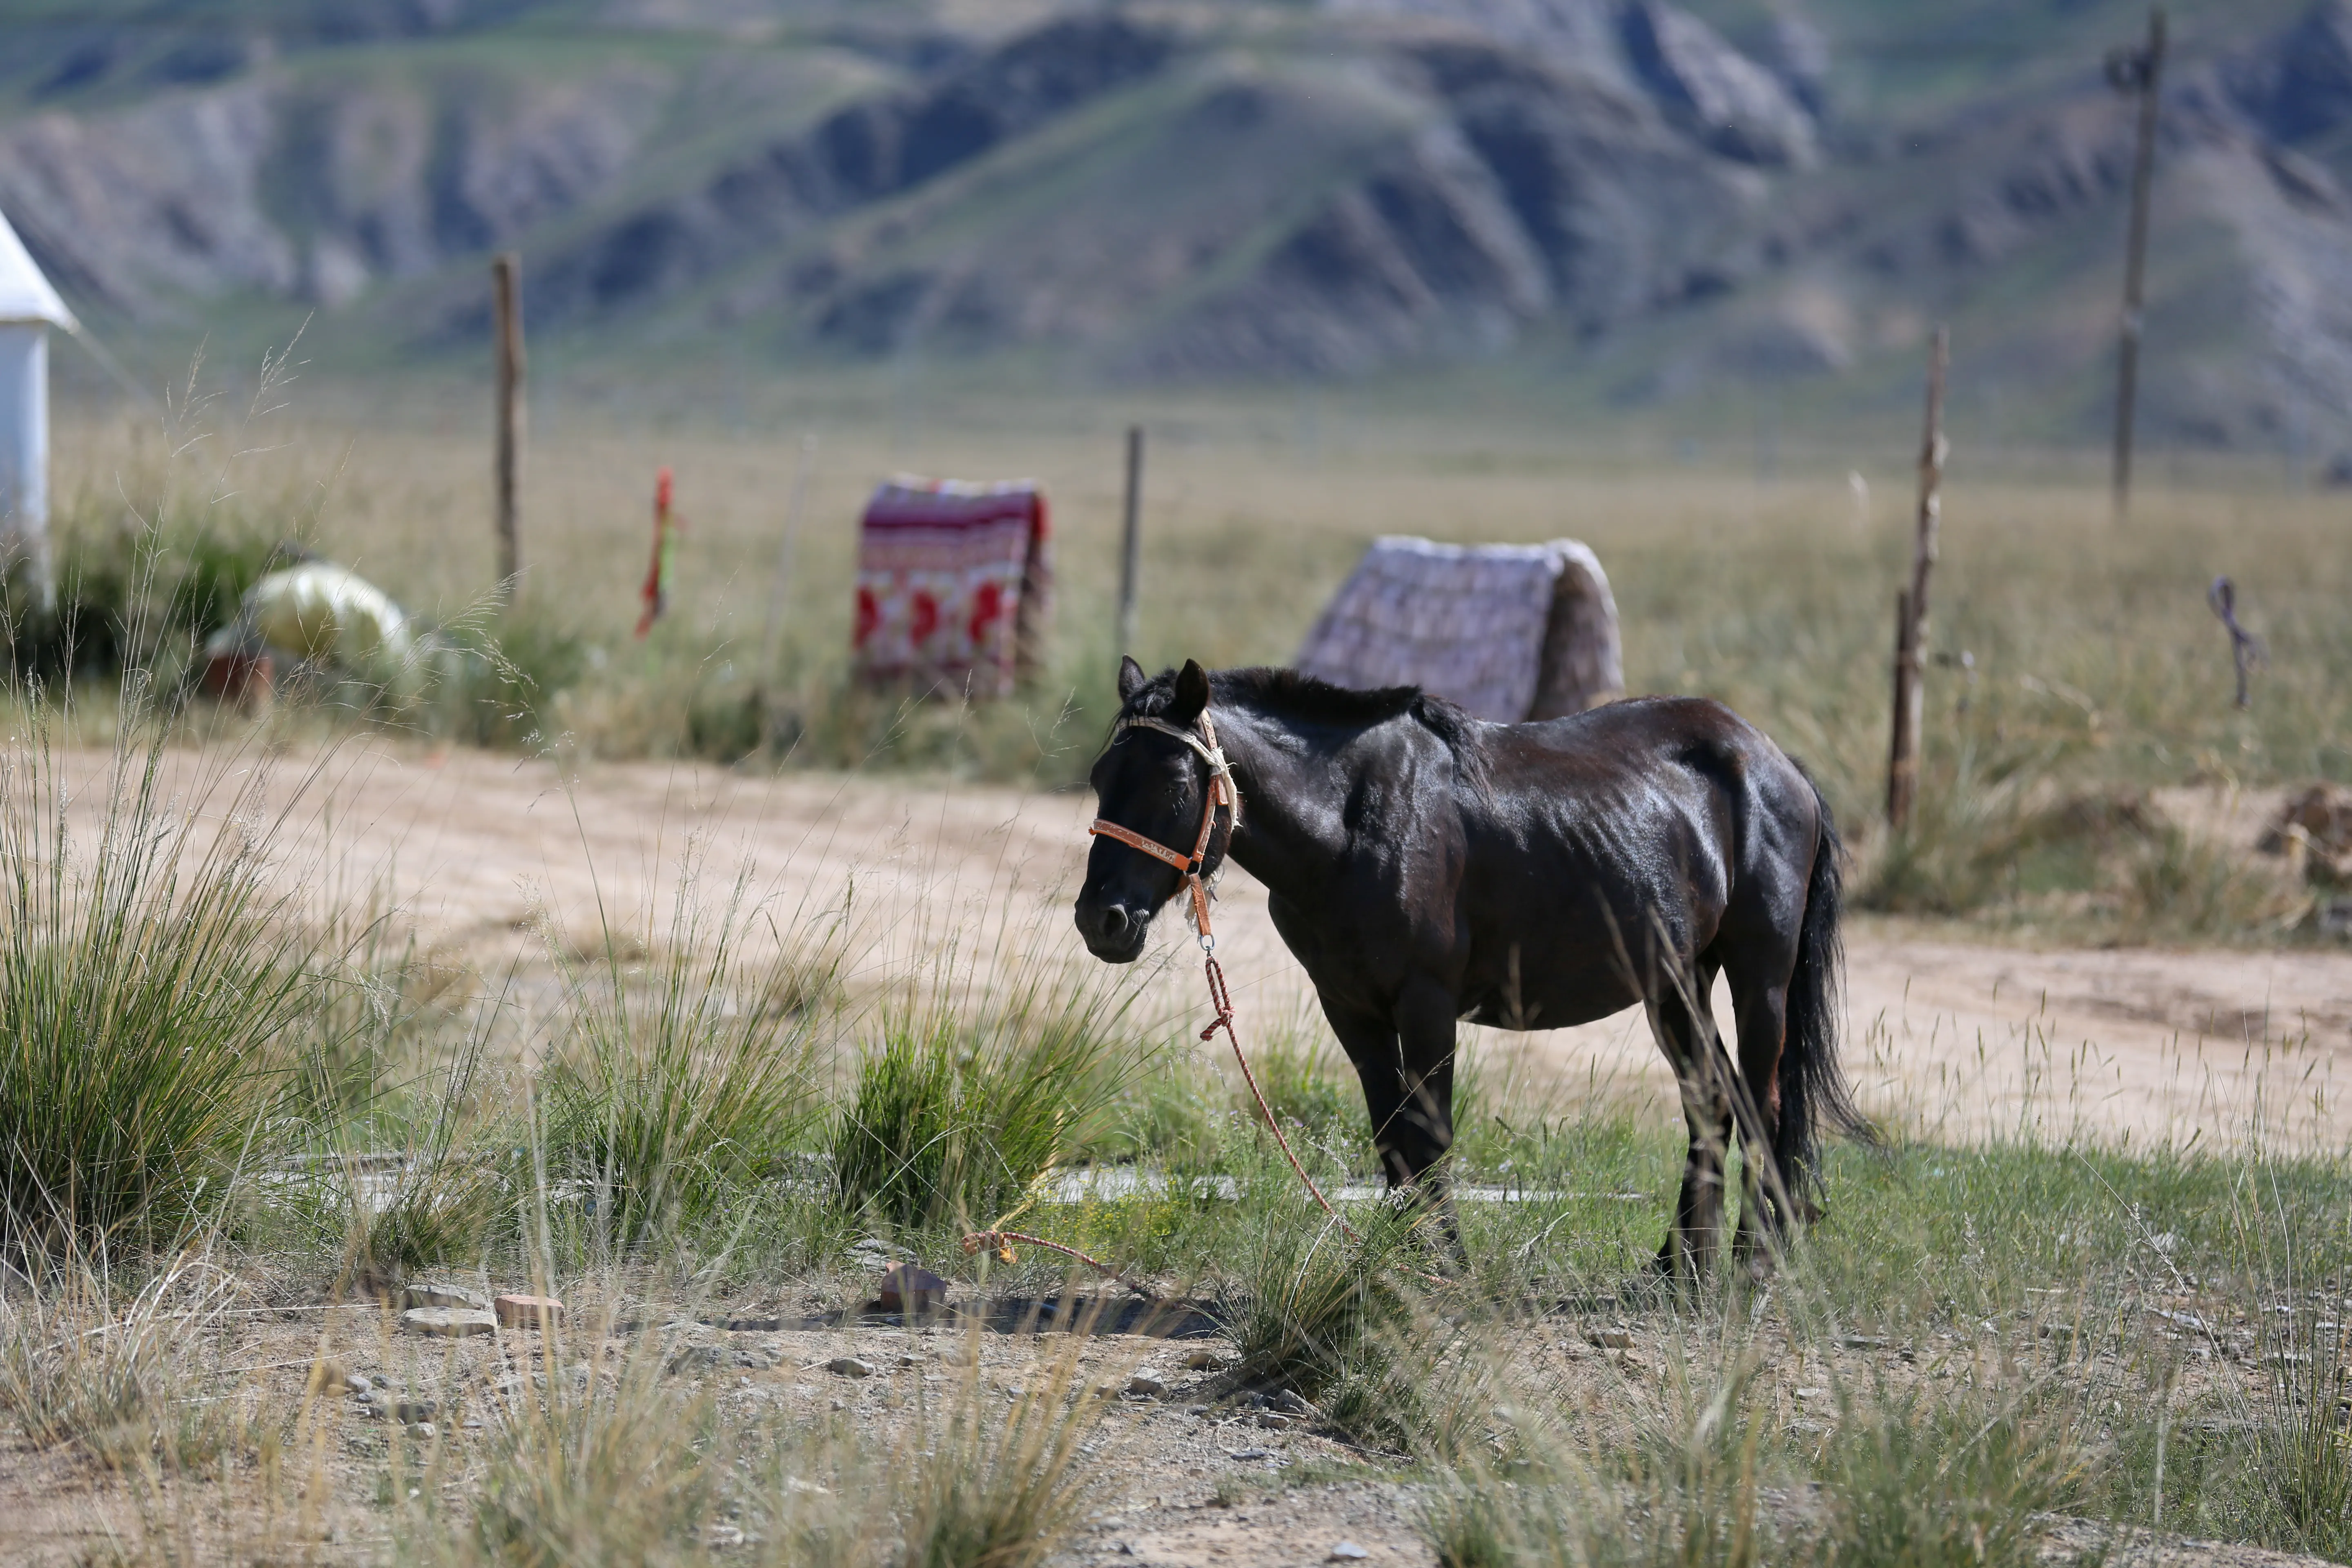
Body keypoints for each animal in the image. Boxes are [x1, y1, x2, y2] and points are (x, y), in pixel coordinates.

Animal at [1073, 656, 1865, 1279]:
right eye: (1102, 775)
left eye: (1175, 784)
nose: (1099, 920)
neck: (1352, 821)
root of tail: (1777, 764)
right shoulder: (1349, 1006)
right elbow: (1392, 1137)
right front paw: (1394, 1261)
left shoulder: (1426, 1001)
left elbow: (1431, 1136)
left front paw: (1445, 1265)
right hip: (1676, 982)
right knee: (1710, 1101)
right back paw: (1678, 1267)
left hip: (1760, 977)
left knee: (1760, 1104)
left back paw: (1752, 1261)